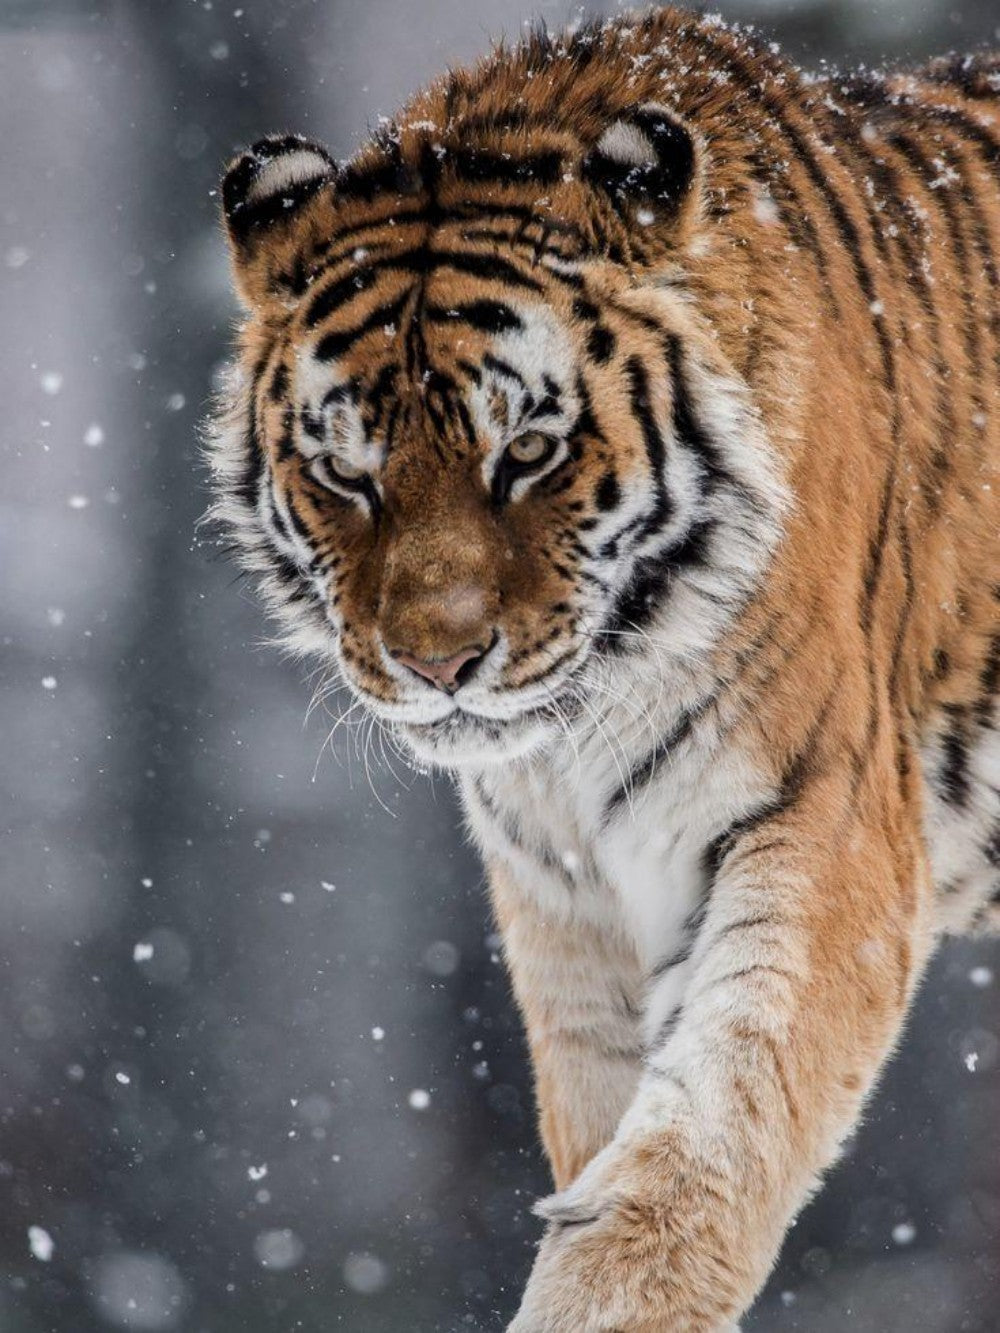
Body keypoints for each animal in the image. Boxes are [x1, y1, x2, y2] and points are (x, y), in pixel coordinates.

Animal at [206, 7, 1000, 1330]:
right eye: (345, 472)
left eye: (527, 451)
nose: (436, 660)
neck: (580, 730)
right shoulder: (566, 900)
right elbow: (605, 1122)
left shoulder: (823, 814)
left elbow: (711, 1120)